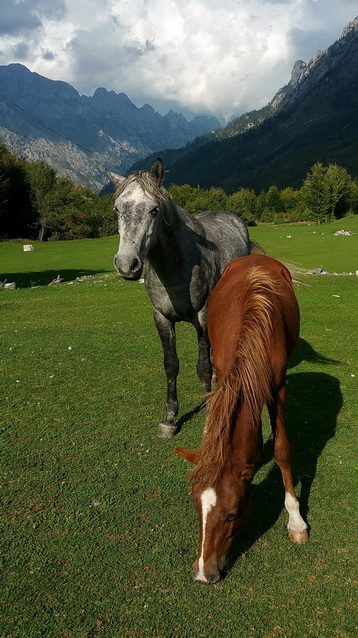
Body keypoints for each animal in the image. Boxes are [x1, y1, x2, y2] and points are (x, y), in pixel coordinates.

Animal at [109, 159, 252, 440]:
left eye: (154, 210)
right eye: (118, 209)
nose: (127, 264)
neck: (175, 266)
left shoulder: (202, 316)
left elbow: (202, 366)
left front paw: (209, 416)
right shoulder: (161, 318)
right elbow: (171, 365)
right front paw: (169, 419)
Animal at [176, 255, 308, 584]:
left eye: (232, 514)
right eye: (196, 507)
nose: (204, 573)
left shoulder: (278, 387)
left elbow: (283, 450)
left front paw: (296, 521)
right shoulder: (226, 378)